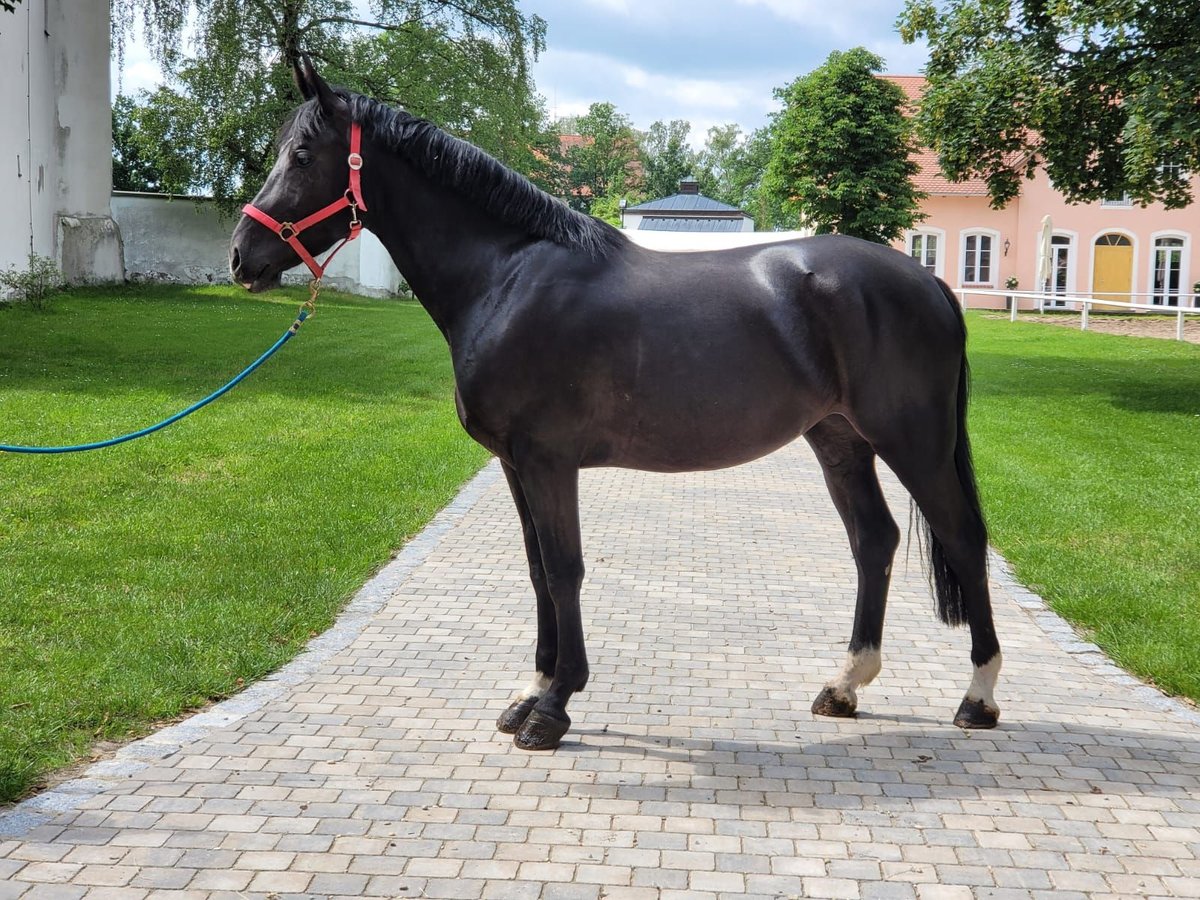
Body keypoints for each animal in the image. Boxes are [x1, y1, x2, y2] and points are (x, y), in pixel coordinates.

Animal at [229, 61, 998, 753]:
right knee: (873, 540)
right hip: (839, 440)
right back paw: (844, 685)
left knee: (961, 536)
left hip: (914, 442)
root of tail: (930, 283)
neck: (507, 279)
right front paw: (532, 691)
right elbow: (538, 569)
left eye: (302, 154)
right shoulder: (514, 465)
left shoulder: (548, 461)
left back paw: (979, 697)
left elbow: (564, 569)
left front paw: (553, 708)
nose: (242, 256)